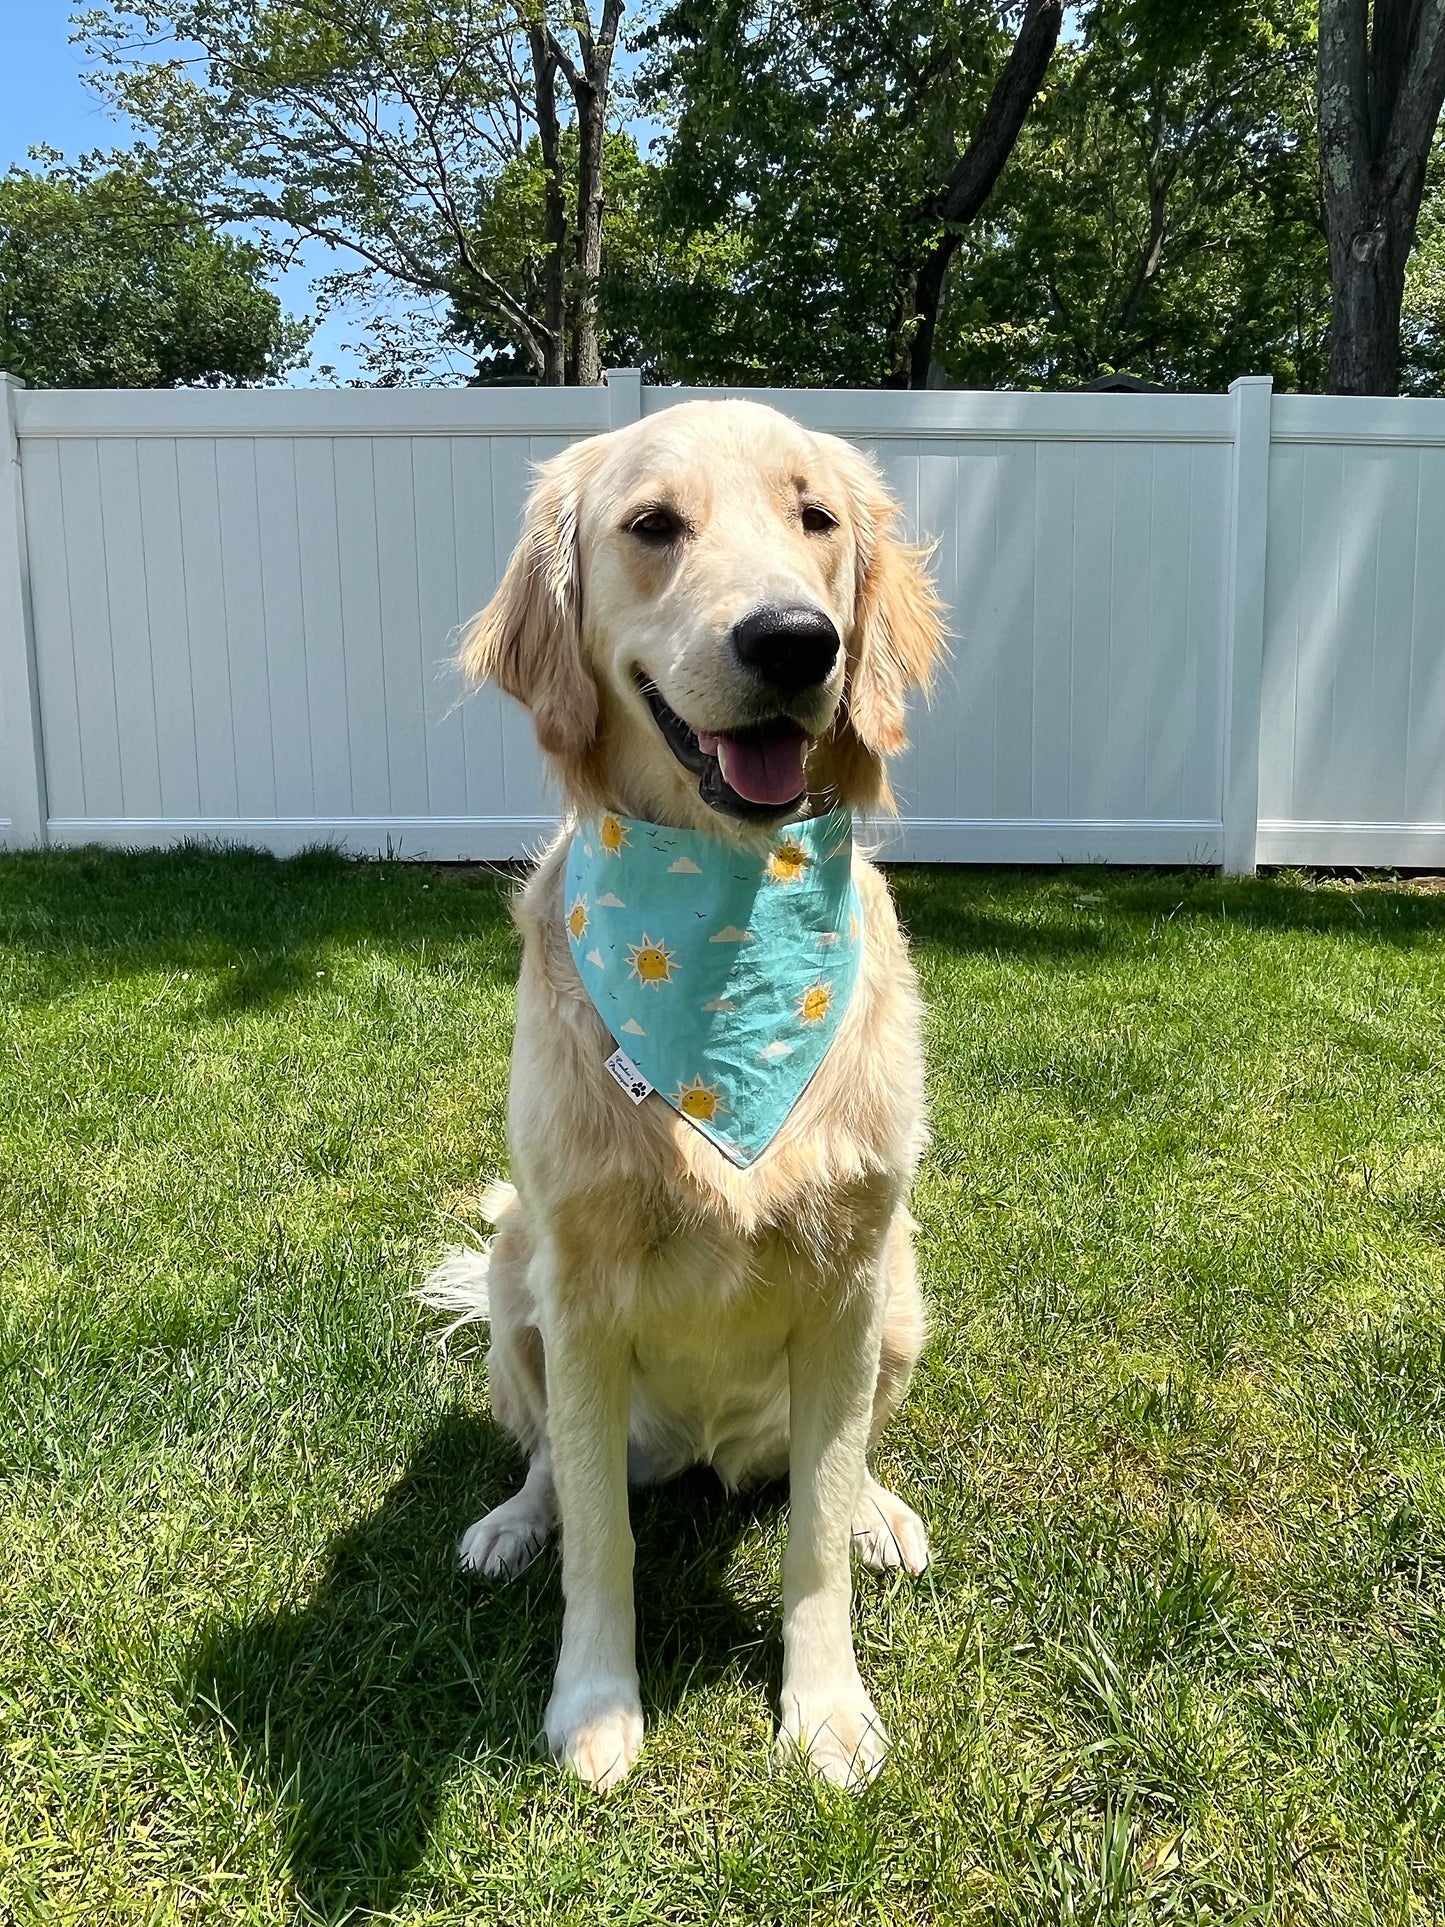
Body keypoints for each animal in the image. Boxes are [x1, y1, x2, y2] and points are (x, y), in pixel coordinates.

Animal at [421, 398, 951, 1795]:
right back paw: (512, 1522)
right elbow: (601, 1537)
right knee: (551, 1462)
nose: (795, 641)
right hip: (516, 1278)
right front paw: (595, 1703)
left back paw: (882, 1511)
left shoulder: (847, 1278)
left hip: (904, 1290)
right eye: (652, 525)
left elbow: (815, 1527)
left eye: (816, 518)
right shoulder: (581, 1290)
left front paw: (824, 1706)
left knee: (848, 1460)